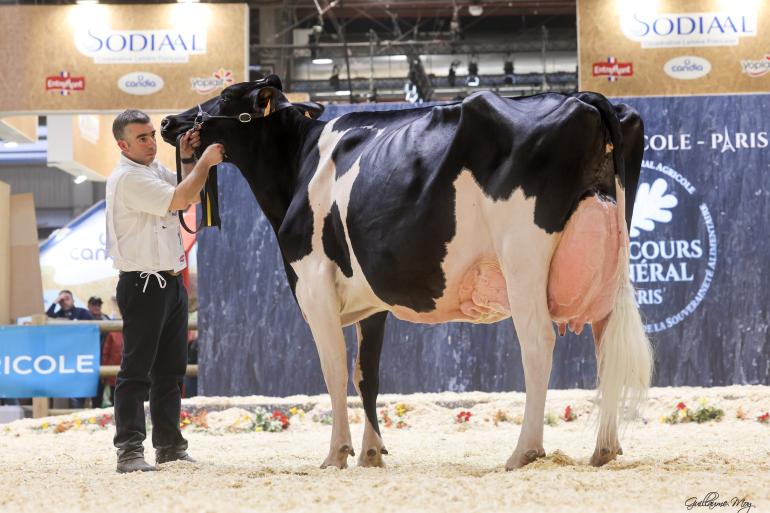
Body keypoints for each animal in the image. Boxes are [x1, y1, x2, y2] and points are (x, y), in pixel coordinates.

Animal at [160, 74, 648, 470]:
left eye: (227, 96)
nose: (169, 122)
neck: (298, 165)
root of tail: (583, 97)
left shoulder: (314, 282)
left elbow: (334, 370)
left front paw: (337, 453)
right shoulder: (372, 301)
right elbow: (367, 374)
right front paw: (372, 453)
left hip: (523, 256)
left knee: (539, 342)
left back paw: (524, 451)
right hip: (610, 261)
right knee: (607, 344)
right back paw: (604, 449)